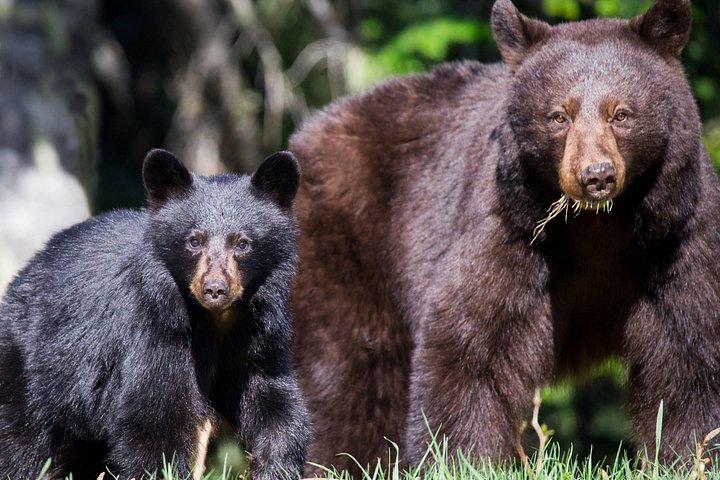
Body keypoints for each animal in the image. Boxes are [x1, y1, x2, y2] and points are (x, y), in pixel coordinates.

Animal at [0, 149, 310, 479]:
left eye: (242, 243)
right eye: (194, 240)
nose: (215, 289)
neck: (216, 322)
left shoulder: (259, 338)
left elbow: (274, 401)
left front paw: (276, 466)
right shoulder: (154, 331)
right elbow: (155, 417)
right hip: (32, 367)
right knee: (18, 440)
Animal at [290, 0, 720, 473]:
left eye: (621, 113)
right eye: (559, 115)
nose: (597, 176)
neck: (598, 227)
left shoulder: (677, 239)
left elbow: (690, 353)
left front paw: (691, 456)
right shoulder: (510, 230)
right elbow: (471, 341)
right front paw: (461, 459)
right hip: (347, 247)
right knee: (349, 373)